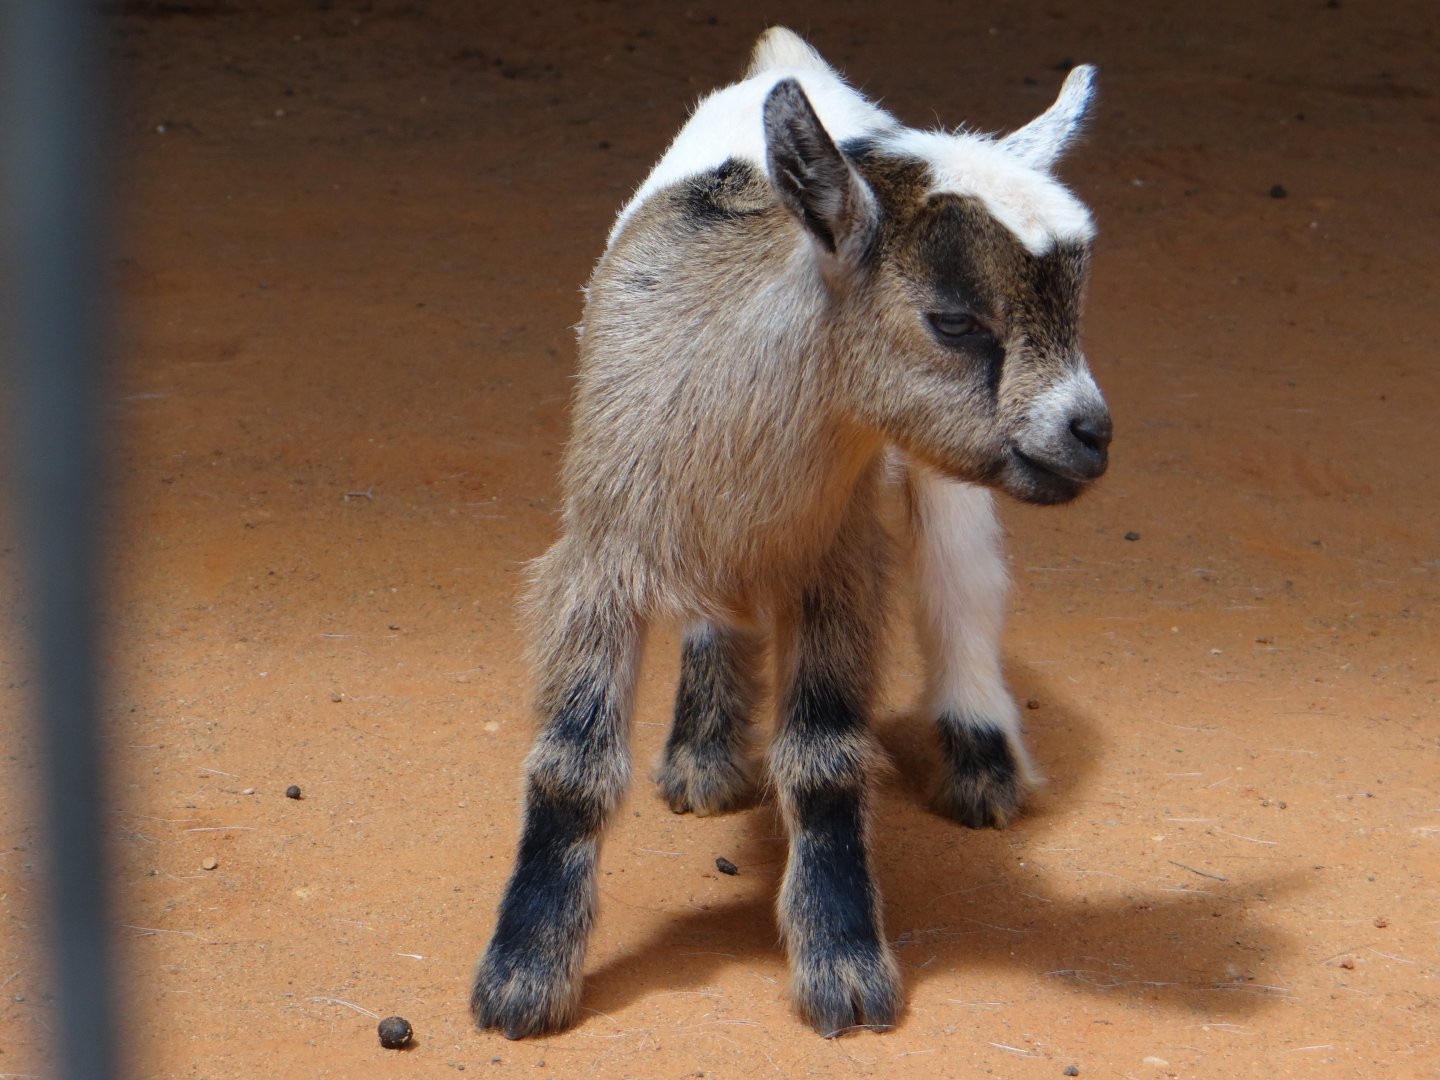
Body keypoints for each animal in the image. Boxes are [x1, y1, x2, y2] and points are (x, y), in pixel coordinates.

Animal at [471, 27, 1110, 1039]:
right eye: (954, 321)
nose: (1093, 433)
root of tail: (790, 56)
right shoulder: (602, 553)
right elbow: (572, 766)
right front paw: (522, 978)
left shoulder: (836, 563)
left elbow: (824, 762)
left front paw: (844, 970)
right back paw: (702, 752)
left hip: (932, 474)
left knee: (961, 576)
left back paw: (981, 757)